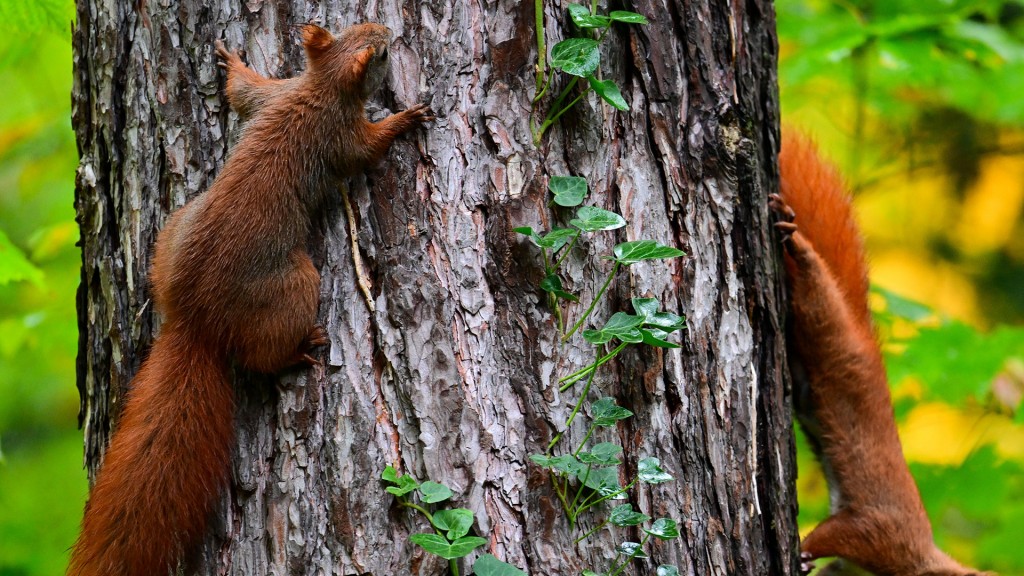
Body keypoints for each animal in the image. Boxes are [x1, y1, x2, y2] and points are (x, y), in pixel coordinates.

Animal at [68, 23, 432, 576]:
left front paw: (230, 62)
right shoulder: (339, 139)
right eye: (383, 52)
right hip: (296, 283)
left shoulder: (272, 96)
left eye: (351, 30)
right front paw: (406, 119)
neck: (317, 90)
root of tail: (196, 320)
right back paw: (298, 351)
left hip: (174, 228)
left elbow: (245, 92)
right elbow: (367, 150)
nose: (389, 29)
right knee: (262, 357)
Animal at [771, 131, 987, 576]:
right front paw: (802, 551)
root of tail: (866, 341)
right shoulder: (879, 534)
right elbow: (834, 533)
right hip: (826, 327)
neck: (925, 560)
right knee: (816, 288)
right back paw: (796, 242)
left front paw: (806, 561)